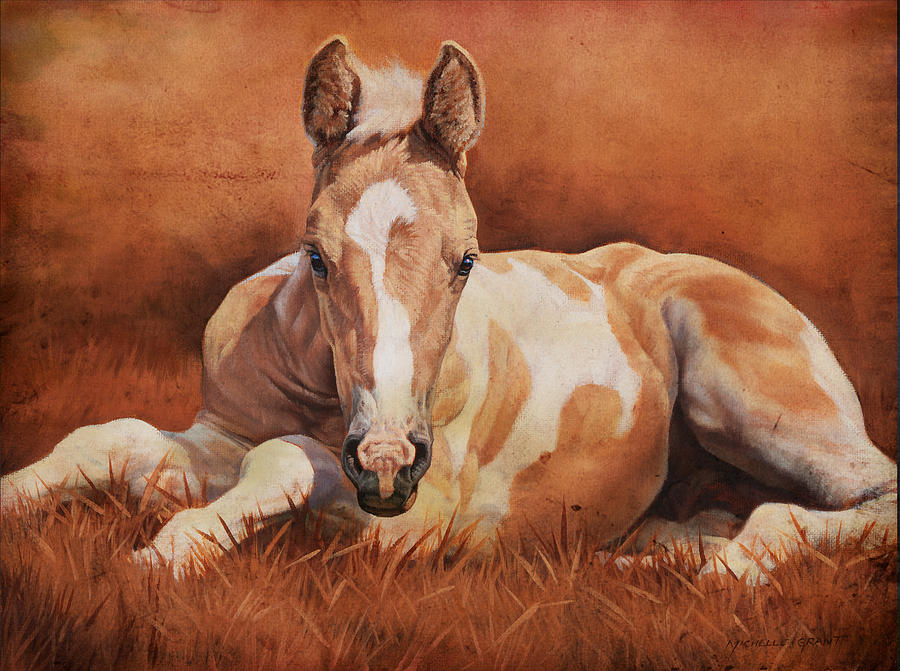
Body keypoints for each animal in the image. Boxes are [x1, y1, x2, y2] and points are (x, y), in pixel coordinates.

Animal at [2, 37, 895, 584]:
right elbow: (114, 437)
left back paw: (723, 570)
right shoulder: (219, 433)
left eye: (467, 259)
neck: (317, 387)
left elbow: (292, 458)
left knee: (858, 497)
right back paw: (650, 560)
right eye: (315, 255)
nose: (388, 462)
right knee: (709, 516)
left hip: (751, 400)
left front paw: (160, 559)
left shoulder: (413, 524)